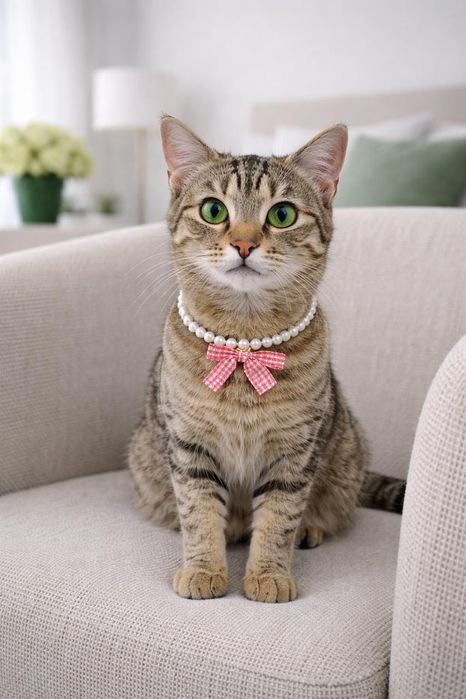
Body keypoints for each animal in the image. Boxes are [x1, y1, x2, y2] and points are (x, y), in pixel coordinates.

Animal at [127, 116, 406, 603]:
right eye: (214, 210)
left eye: (282, 215)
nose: (243, 244)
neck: (242, 344)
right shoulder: (190, 446)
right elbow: (199, 515)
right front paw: (202, 569)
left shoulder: (295, 452)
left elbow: (278, 519)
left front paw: (268, 575)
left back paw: (309, 530)